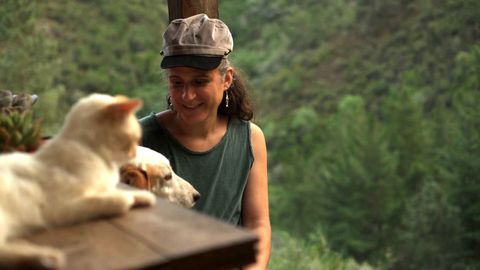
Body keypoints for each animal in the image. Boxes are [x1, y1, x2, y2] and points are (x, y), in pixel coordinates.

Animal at [0, 94, 156, 268]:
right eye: (133, 140)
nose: (135, 154)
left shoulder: (102, 188)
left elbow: (119, 191)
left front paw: (145, 197)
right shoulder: (63, 205)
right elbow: (120, 199)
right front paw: (126, 199)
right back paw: (48, 258)